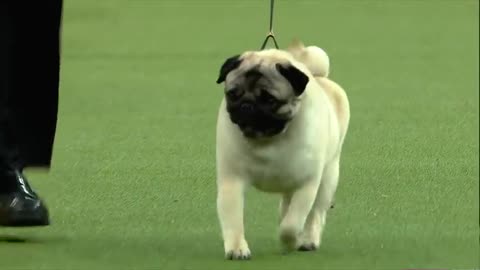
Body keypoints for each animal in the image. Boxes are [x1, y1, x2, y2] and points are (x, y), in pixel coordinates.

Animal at [214, 40, 348, 260]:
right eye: (232, 94)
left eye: (269, 99)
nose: (247, 104)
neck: (269, 139)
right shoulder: (231, 181)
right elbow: (233, 219)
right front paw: (236, 248)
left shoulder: (306, 185)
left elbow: (291, 225)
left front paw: (291, 242)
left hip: (327, 179)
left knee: (315, 214)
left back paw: (308, 240)